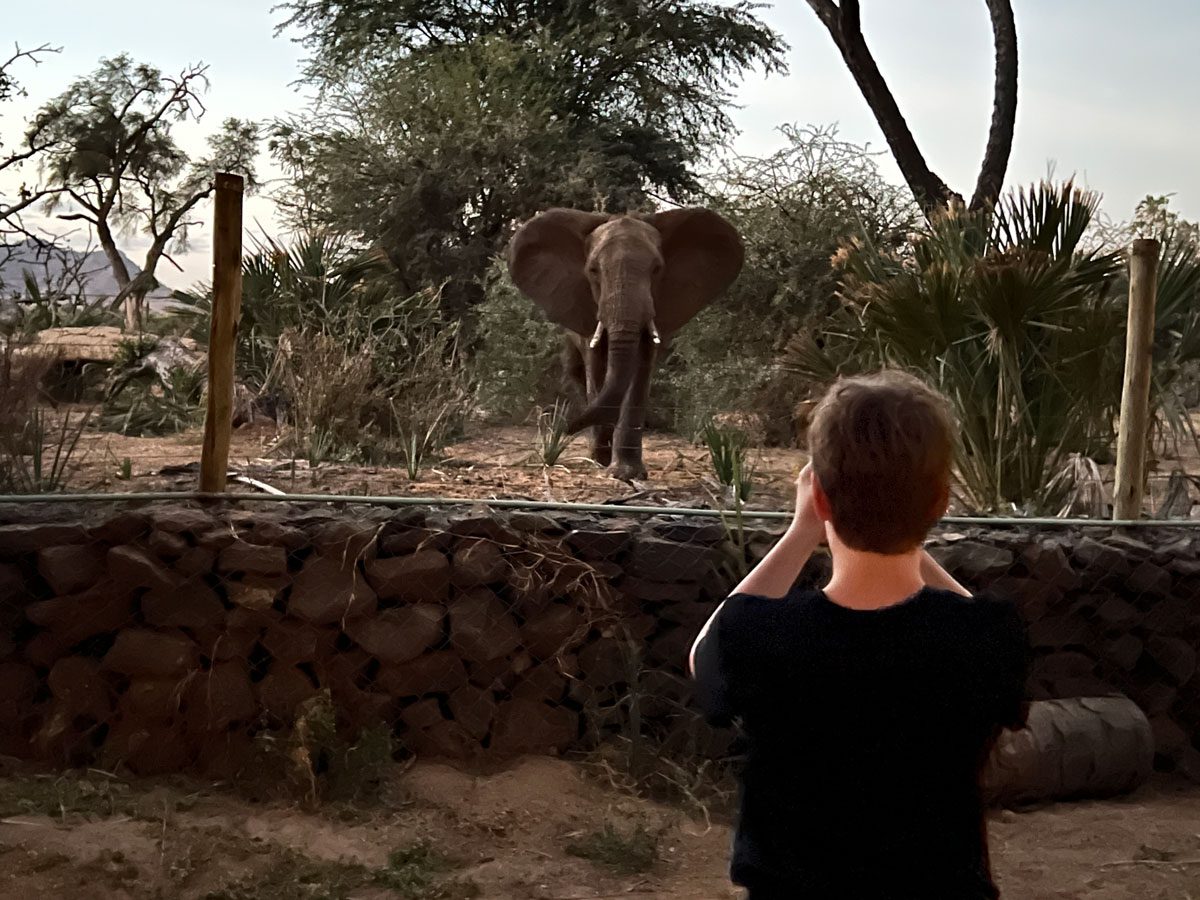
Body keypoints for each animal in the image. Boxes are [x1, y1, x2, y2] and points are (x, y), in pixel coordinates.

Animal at [506, 207, 739, 482]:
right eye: (593, 270)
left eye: (657, 269)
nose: (565, 427)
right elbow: (596, 366)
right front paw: (602, 461)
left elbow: (640, 370)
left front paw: (626, 473)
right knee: (577, 372)